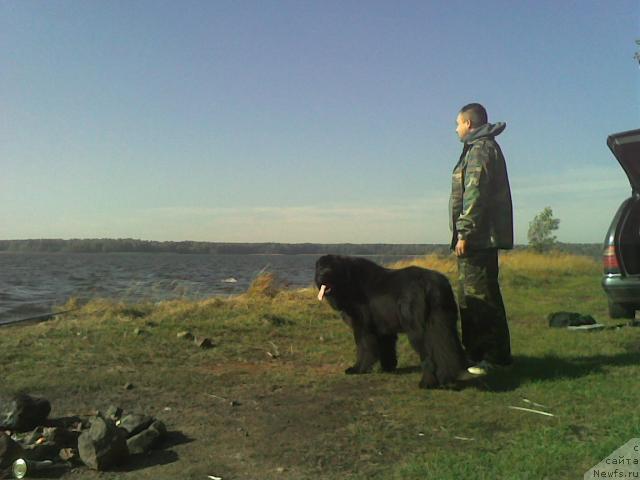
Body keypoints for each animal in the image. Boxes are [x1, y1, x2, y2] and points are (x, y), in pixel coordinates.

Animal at [318, 253, 468, 388]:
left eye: (332, 268)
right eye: (320, 267)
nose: (322, 276)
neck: (349, 281)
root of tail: (429, 284)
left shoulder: (363, 327)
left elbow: (363, 349)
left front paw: (358, 369)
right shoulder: (383, 329)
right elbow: (387, 348)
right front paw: (387, 368)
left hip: (417, 330)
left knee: (428, 356)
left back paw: (427, 383)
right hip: (442, 323)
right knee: (448, 351)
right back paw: (447, 380)